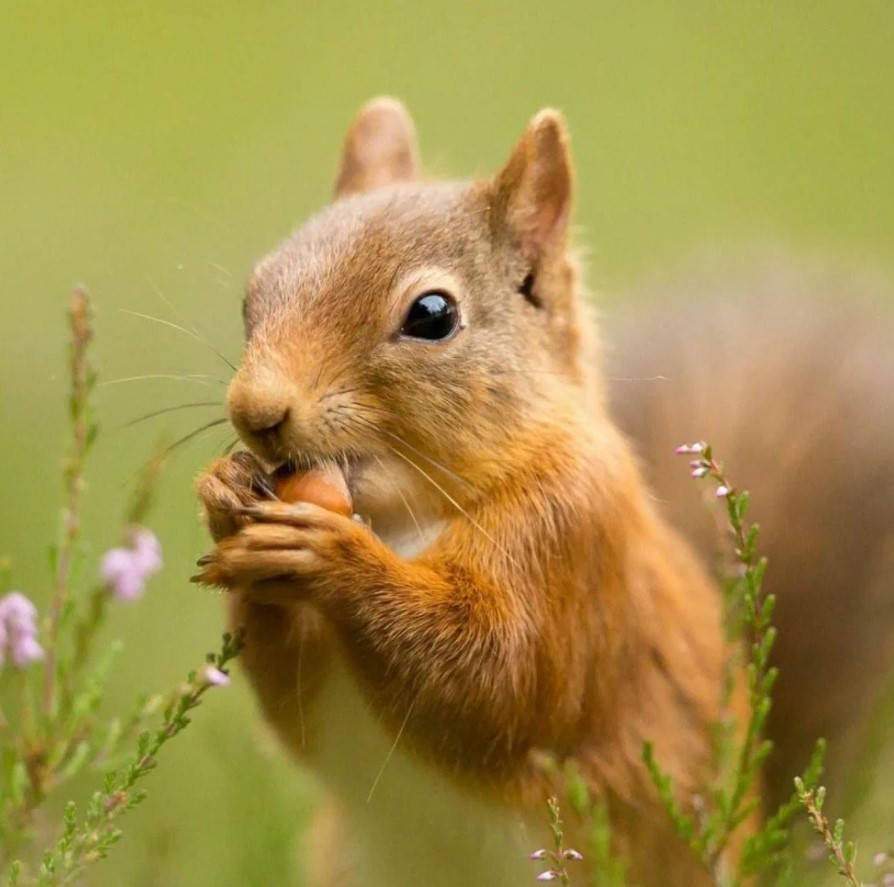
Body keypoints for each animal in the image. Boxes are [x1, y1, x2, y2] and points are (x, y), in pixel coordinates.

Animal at [194, 98, 894, 887]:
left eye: (432, 314)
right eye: (252, 294)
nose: (256, 411)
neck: (407, 516)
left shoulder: (570, 539)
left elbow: (496, 679)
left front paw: (331, 554)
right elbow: (296, 707)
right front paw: (226, 497)